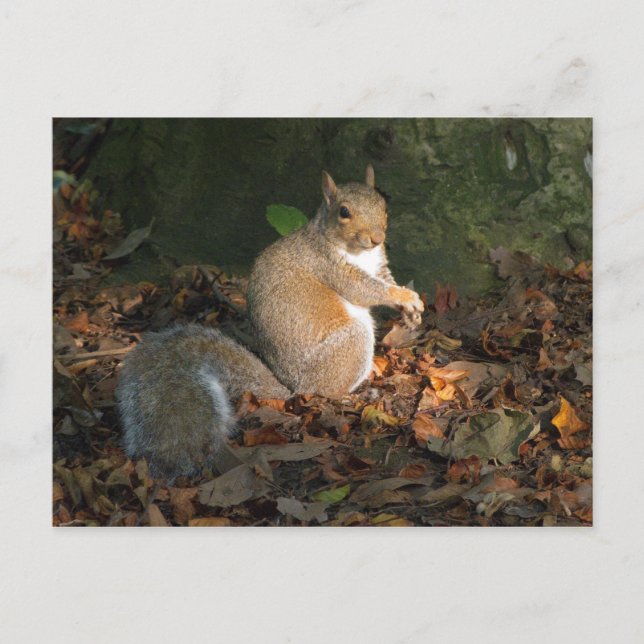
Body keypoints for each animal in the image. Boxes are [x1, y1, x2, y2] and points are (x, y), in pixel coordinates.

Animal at [116, 166, 424, 481]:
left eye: (383, 204)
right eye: (344, 211)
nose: (377, 238)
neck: (359, 252)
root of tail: (293, 388)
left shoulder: (378, 265)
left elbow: (384, 279)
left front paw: (412, 309)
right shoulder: (329, 266)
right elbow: (364, 289)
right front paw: (403, 296)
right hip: (350, 344)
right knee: (328, 391)